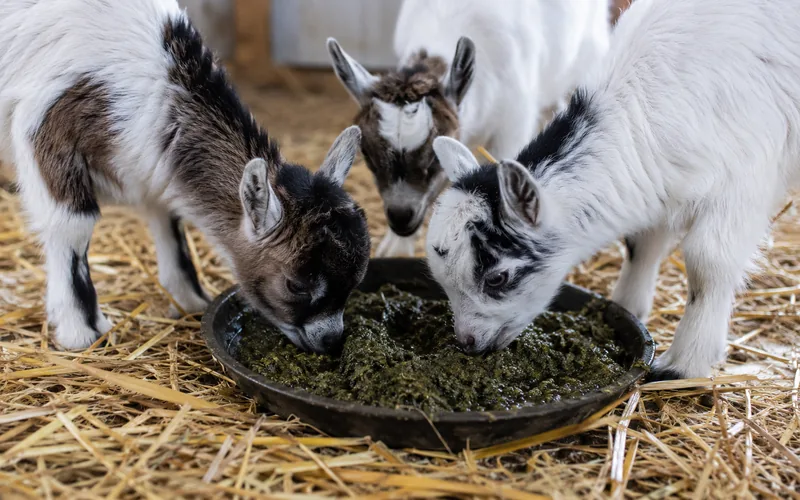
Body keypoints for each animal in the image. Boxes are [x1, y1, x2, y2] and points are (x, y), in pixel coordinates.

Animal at [0, 0, 371, 353]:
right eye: (296, 284)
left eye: (356, 281)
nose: (330, 340)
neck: (161, 78)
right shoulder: (47, 124)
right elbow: (72, 226)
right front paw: (84, 331)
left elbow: (169, 218)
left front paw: (190, 299)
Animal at [425, 0, 800, 381]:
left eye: (497, 278)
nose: (467, 343)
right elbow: (641, 242)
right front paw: (627, 308)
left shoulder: (746, 175)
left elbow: (708, 260)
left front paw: (683, 364)